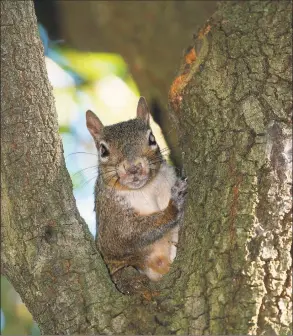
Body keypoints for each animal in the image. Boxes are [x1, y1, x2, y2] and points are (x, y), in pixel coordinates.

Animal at [85, 97, 186, 296]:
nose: (133, 168)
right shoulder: (111, 220)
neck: (146, 189)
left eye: (152, 138)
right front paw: (173, 206)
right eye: (103, 151)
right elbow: (127, 236)